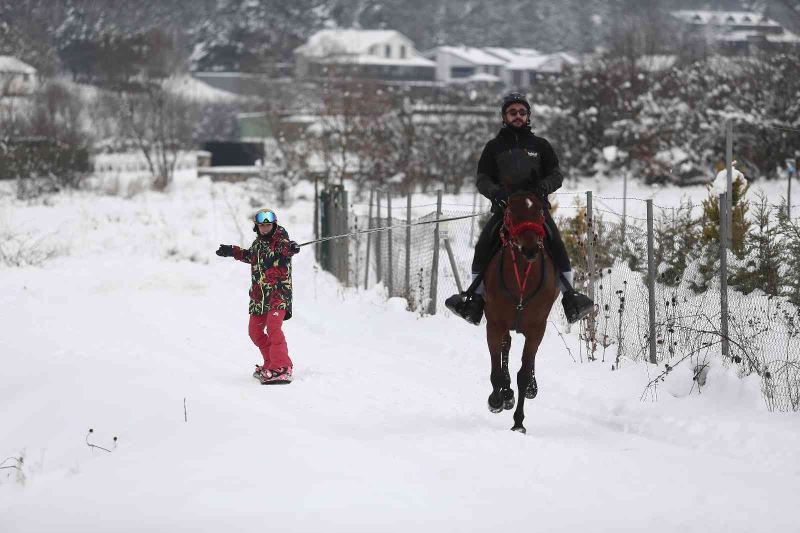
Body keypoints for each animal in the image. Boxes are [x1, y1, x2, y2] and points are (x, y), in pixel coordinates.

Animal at [484, 191, 560, 432]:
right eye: (510, 211)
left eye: (539, 211)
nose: (530, 249)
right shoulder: (494, 324)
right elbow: (497, 370)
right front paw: (497, 399)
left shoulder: (537, 329)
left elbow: (524, 374)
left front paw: (518, 422)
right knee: (505, 347)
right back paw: (506, 394)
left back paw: (529, 389)